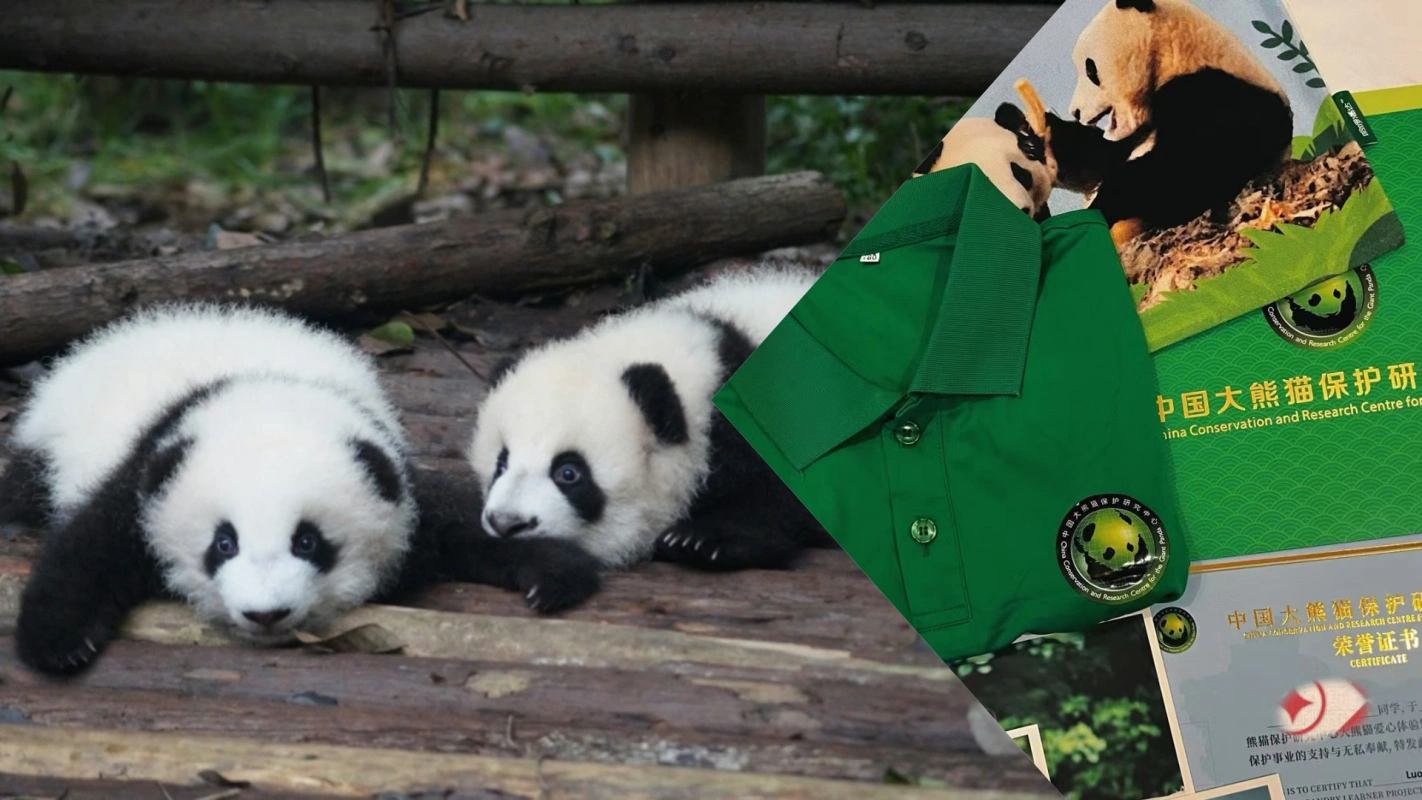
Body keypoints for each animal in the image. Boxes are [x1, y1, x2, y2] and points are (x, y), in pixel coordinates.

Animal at [0, 305, 600, 675]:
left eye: (308, 542)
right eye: (223, 544)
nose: (266, 615)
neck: (268, 390)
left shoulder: (390, 472)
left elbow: (461, 521)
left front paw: (552, 573)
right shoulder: (151, 468)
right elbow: (90, 545)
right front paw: (59, 643)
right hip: (47, 445)